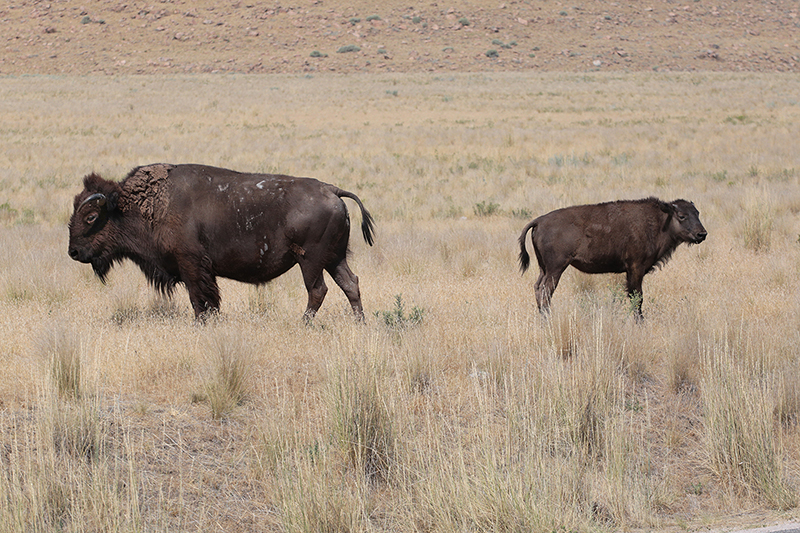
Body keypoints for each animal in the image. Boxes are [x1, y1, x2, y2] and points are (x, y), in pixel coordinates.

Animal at [68, 163, 375, 321]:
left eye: (91, 216)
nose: (73, 251)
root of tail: (332, 190)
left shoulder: (192, 265)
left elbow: (199, 299)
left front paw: (201, 323)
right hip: (334, 259)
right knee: (350, 284)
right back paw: (358, 323)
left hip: (310, 260)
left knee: (317, 290)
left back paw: (304, 324)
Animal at [518, 197, 706, 320]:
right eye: (681, 215)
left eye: (697, 213)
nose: (702, 234)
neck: (660, 221)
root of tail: (539, 221)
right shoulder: (635, 268)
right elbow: (637, 297)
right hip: (556, 269)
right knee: (546, 291)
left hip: (544, 268)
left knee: (538, 288)